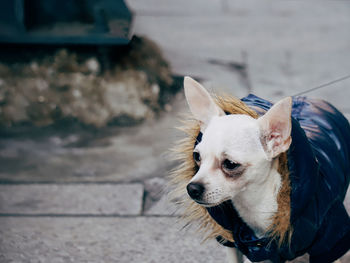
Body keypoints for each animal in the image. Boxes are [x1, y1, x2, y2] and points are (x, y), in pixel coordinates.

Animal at [174, 77, 350, 263]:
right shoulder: (233, 243)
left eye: (230, 164)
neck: (254, 205)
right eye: (196, 156)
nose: (192, 188)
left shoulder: (327, 243)